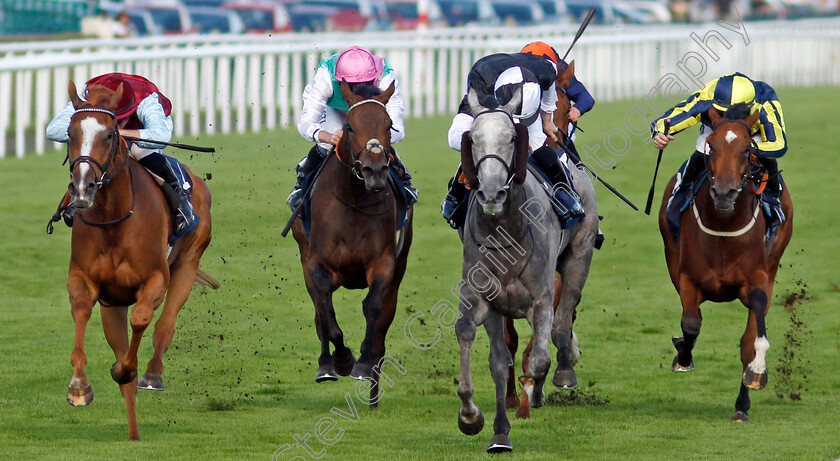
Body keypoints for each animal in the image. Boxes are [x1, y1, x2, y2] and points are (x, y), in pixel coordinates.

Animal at [64, 82, 215, 438]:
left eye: (110, 135)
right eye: (70, 132)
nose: (83, 188)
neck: (115, 220)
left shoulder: (156, 279)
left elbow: (143, 318)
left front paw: (128, 369)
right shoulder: (85, 279)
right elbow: (81, 310)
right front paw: (79, 386)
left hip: (187, 263)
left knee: (165, 325)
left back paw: (151, 373)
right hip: (113, 303)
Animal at [292, 80, 414, 402]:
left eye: (389, 124)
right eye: (349, 126)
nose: (375, 170)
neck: (354, 202)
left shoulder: (384, 264)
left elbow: (373, 308)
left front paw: (362, 363)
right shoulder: (317, 264)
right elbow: (326, 313)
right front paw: (339, 360)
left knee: (383, 321)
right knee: (320, 313)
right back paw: (329, 363)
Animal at [660, 107, 792, 420]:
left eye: (747, 149)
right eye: (712, 146)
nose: (723, 193)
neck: (724, 224)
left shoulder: (758, 279)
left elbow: (753, 339)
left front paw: (757, 373)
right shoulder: (686, 277)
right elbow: (691, 323)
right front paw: (683, 356)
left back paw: (742, 405)